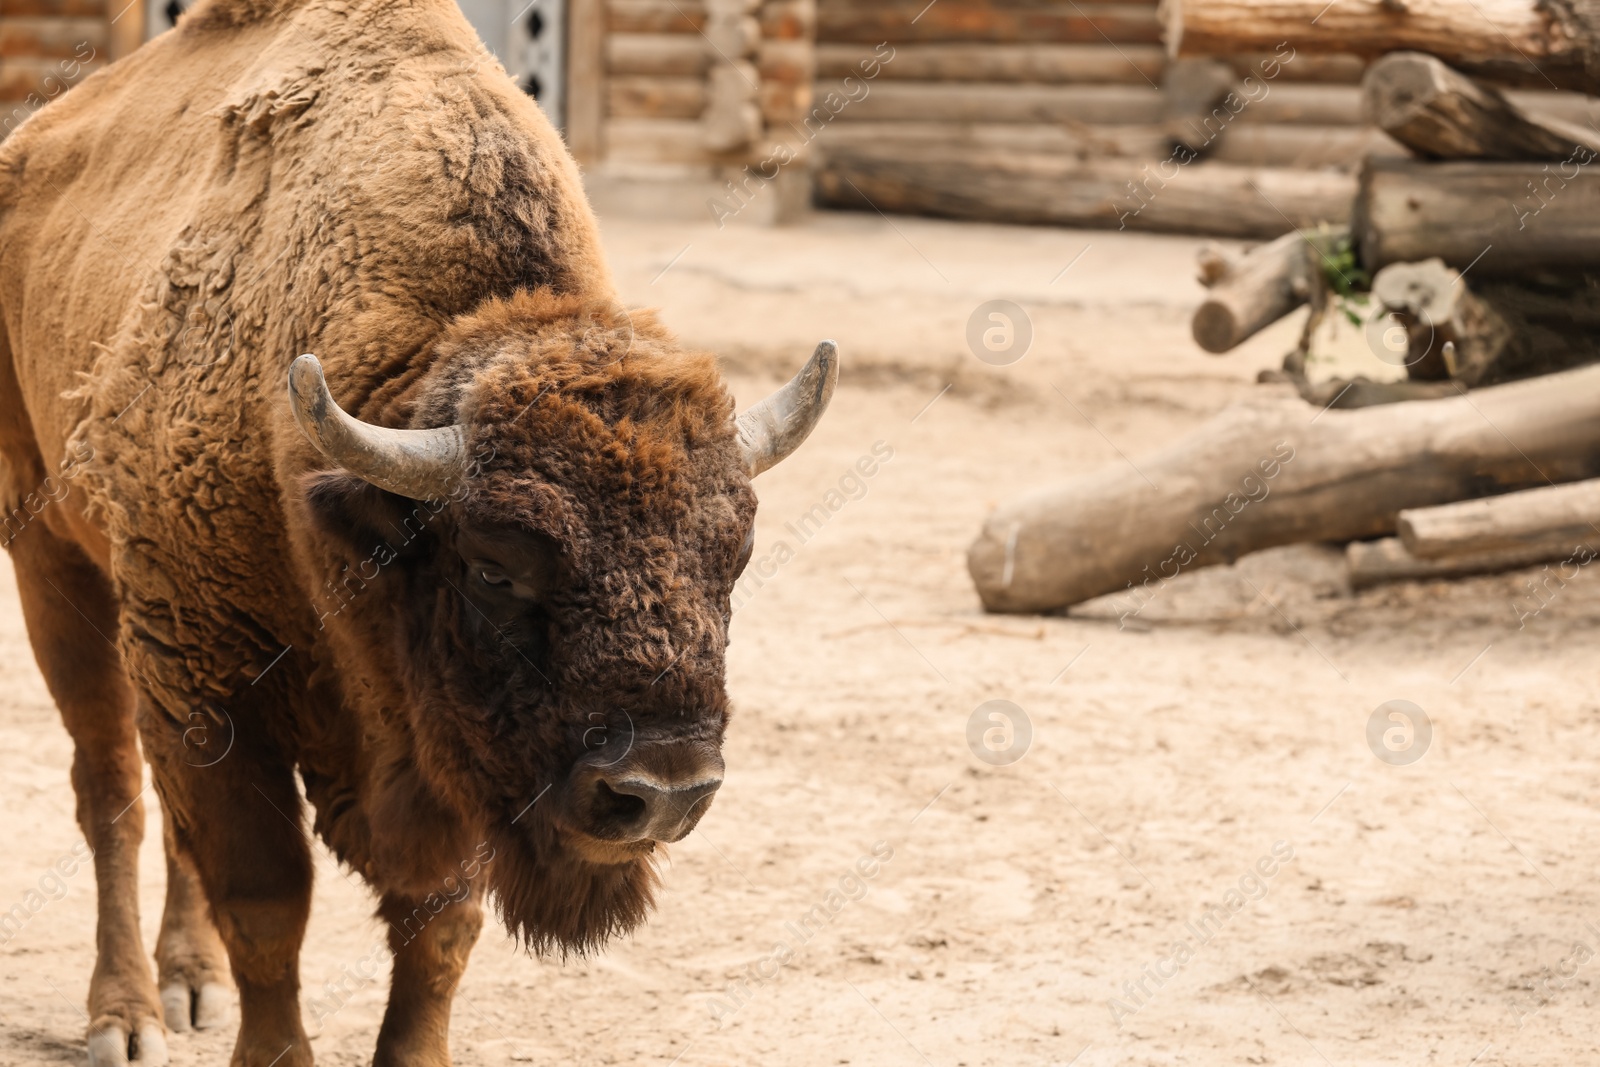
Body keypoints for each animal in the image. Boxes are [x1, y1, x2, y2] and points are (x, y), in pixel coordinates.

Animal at [0, 2, 844, 1067]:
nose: (661, 789)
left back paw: (192, 984)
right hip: (51, 558)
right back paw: (129, 1015)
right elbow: (267, 896)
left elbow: (439, 921)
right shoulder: (213, 675)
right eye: (492, 569)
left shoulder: (437, 759)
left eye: (733, 560)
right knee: (111, 788)